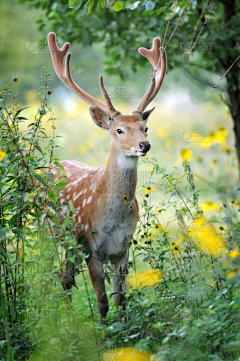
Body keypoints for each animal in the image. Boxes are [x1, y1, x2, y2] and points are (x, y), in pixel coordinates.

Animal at [47, 31, 167, 324]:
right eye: (119, 130)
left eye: (145, 127)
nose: (145, 145)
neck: (111, 219)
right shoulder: (91, 247)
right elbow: (102, 301)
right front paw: (102, 332)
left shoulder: (123, 249)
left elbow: (120, 300)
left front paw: (124, 331)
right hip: (52, 232)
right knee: (57, 274)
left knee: (65, 278)